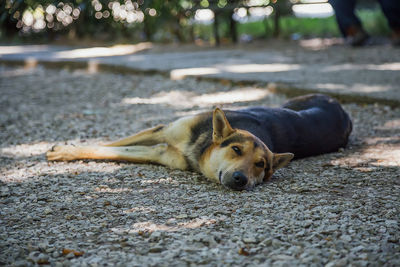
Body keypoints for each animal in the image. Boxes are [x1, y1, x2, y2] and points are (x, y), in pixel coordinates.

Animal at [48, 94, 352, 191]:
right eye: (236, 149)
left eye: (261, 166)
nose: (241, 179)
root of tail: (340, 106)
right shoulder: (163, 130)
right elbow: (112, 143)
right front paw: (64, 149)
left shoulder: (161, 151)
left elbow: (113, 150)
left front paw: (66, 151)